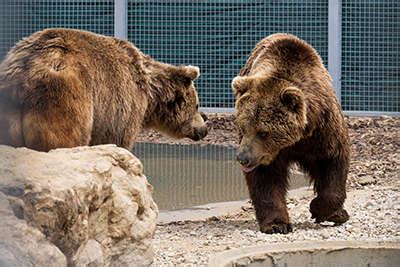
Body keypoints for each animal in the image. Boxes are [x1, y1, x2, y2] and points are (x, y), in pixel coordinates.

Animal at [0, 28, 208, 153]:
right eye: (197, 105)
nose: (204, 128)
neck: (149, 94)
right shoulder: (121, 108)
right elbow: (119, 141)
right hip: (63, 101)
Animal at [231, 33, 350, 234]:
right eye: (243, 127)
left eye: (263, 132)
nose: (243, 158)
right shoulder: (266, 154)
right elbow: (266, 179)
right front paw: (277, 224)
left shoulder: (323, 130)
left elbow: (333, 161)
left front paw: (326, 211)